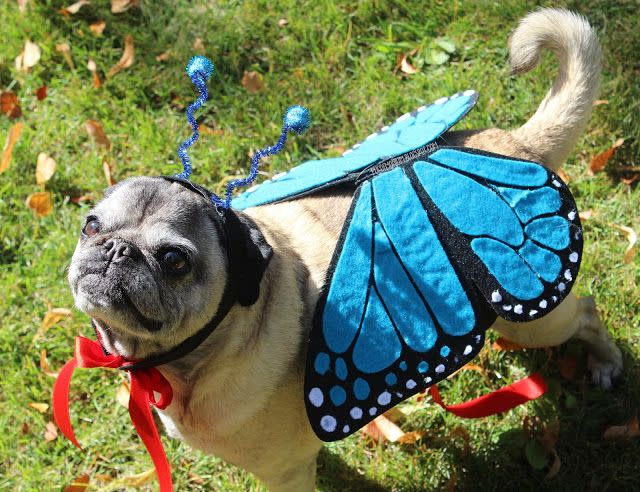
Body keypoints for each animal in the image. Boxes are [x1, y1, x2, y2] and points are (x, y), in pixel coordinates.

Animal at [67, 8, 624, 492]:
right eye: (91, 226)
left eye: (174, 260)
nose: (116, 249)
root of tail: (515, 144)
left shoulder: (285, 474)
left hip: (533, 317)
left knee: (587, 312)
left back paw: (604, 363)